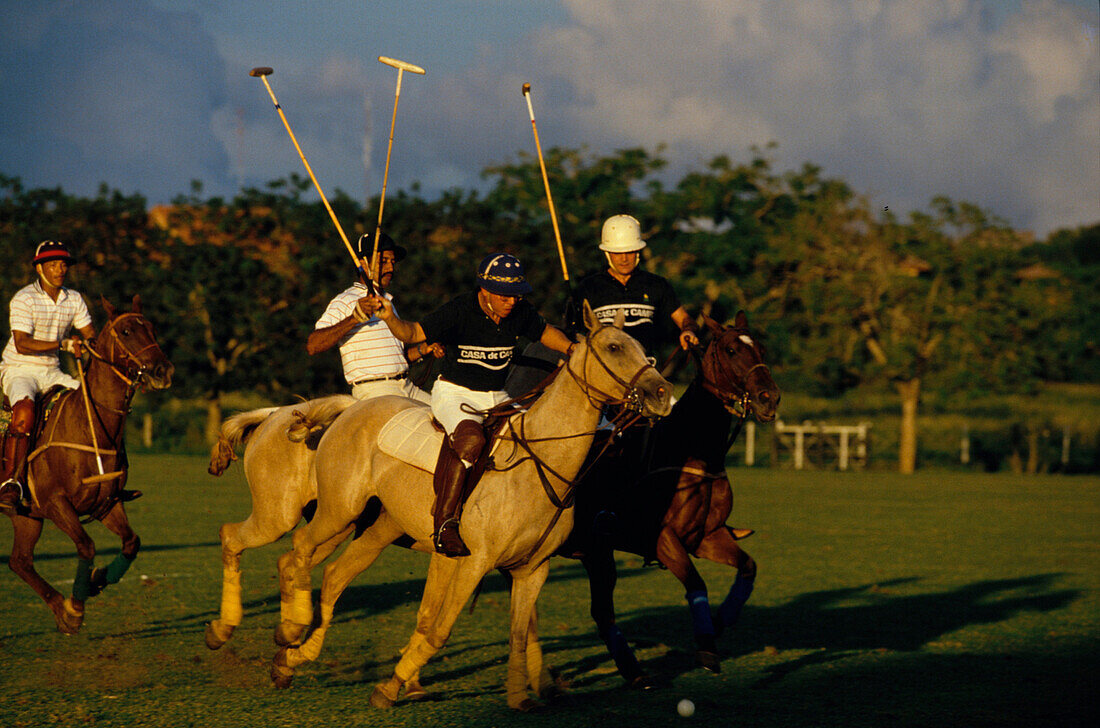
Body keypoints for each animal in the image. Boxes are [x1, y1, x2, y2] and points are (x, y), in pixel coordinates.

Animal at [1, 296, 172, 633]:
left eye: (152, 328)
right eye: (127, 330)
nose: (163, 370)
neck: (88, 424)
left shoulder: (107, 503)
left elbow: (131, 542)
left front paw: (97, 580)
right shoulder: (55, 503)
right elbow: (86, 546)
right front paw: (78, 603)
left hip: (26, 516)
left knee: (20, 561)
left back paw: (60, 610)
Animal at [206, 395, 356, 651]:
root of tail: (274, 413)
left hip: (334, 522)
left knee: (288, 561)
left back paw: (288, 631)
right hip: (279, 517)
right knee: (230, 536)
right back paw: (223, 628)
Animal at [270, 301, 673, 712]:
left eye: (642, 348)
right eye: (614, 347)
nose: (662, 393)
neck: (540, 462)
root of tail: (352, 408)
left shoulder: (532, 569)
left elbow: (519, 634)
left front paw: (520, 697)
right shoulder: (474, 561)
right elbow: (437, 630)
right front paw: (390, 687)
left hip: (381, 526)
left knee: (334, 574)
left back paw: (291, 659)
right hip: (340, 511)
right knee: (300, 548)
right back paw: (291, 628)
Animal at [563, 310, 778, 686]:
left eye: (761, 348)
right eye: (731, 350)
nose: (770, 398)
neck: (694, 452)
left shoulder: (708, 536)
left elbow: (748, 567)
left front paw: (721, 621)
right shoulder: (663, 538)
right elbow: (695, 582)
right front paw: (707, 648)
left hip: (595, 552)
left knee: (602, 613)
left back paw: (634, 673)